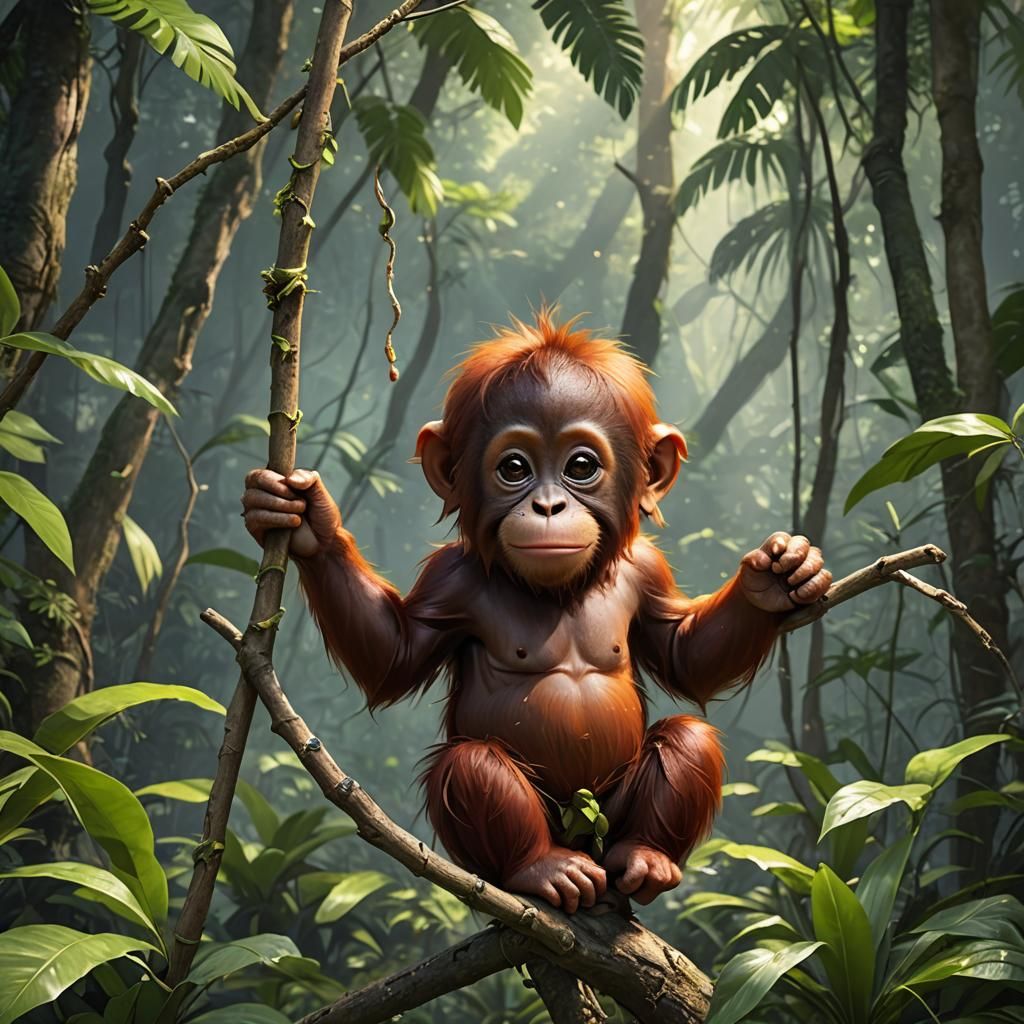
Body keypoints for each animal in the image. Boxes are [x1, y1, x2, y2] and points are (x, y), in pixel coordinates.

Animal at [242, 311, 831, 911]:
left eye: (580, 466)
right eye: (514, 468)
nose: (549, 505)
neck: (559, 591)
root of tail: (583, 840)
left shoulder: (647, 568)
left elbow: (684, 655)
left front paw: (777, 577)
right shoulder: (453, 578)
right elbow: (395, 655)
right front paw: (309, 520)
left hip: (608, 820)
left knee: (688, 737)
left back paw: (648, 855)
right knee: (472, 763)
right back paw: (542, 869)